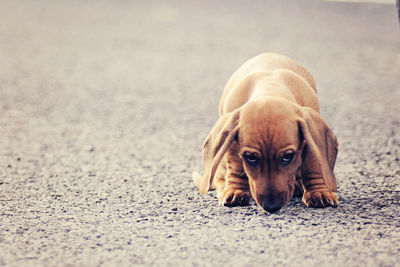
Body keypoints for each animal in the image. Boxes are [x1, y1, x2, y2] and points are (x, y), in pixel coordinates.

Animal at [192, 52, 340, 214]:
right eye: (251, 157)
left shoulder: (310, 138)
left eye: (288, 156)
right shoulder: (232, 142)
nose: (271, 206)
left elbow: (313, 164)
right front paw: (236, 190)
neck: (270, 86)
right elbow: (236, 166)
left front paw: (319, 191)